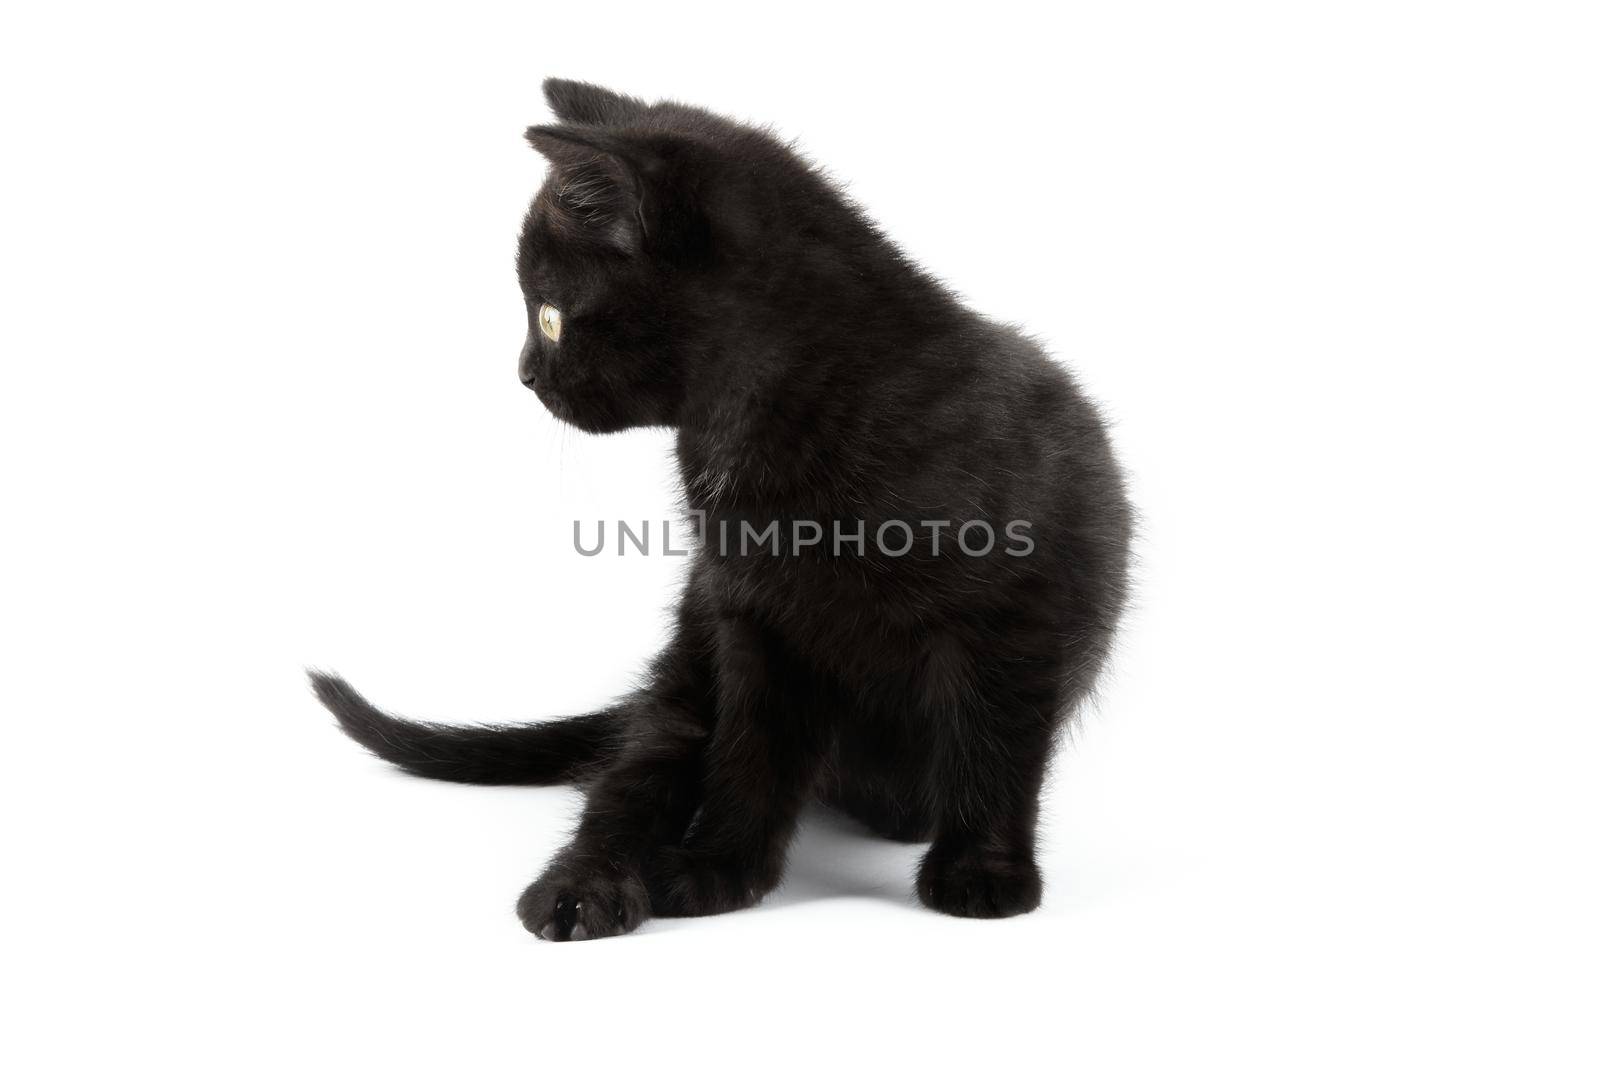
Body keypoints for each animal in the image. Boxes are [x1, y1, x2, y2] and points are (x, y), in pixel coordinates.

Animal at [312, 79, 1132, 940]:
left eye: (550, 314)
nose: (525, 372)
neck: (767, 417)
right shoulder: (753, 618)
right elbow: (751, 750)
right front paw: (718, 868)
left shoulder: (1020, 612)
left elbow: (993, 746)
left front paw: (981, 872)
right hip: (687, 667)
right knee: (634, 774)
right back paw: (581, 889)